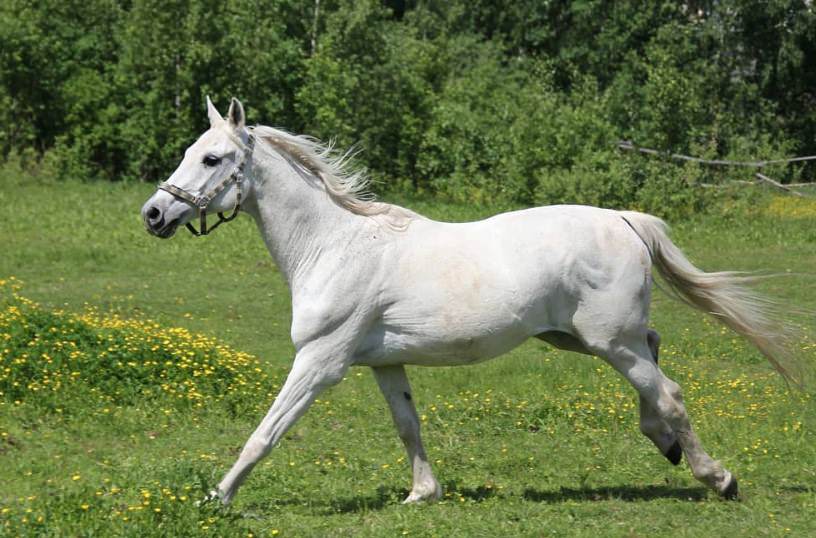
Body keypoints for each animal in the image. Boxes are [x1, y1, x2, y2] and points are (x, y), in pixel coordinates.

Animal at [141, 97, 803, 505]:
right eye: (191, 151)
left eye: (212, 158)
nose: (154, 214)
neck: (334, 245)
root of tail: (624, 217)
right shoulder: (384, 363)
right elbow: (408, 425)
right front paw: (422, 494)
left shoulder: (320, 363)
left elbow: (266, 432)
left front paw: (217, 497)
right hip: (585, 339)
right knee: (657, 361)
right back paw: (664, 442)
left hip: (608, 341)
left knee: (669, 391)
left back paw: (718, 477)